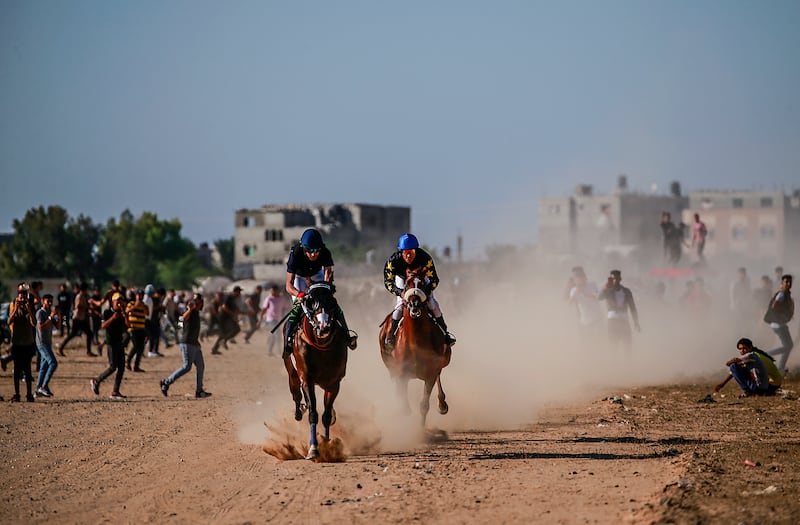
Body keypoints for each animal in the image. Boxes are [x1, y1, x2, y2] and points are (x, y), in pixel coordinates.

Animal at [282, 282, 348, 458]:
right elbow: (313, 413)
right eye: (311, 302)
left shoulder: (334, 382)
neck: (320, 345)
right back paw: (299, 410)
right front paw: (313, 449)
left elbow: (326, 415)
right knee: (295, 388)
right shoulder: (307, 379)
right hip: (290, 366)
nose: (324, 326)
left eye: (332, 302)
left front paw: (326, 444)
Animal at [376, 268, 446, 428]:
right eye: (407, 284)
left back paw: (442, 404)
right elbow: (404, 405)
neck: (415, 343)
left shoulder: (431, 373)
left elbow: (424, 405)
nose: (415, 305)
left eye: (422, 284)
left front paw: (421, 430)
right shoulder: (401, 373)